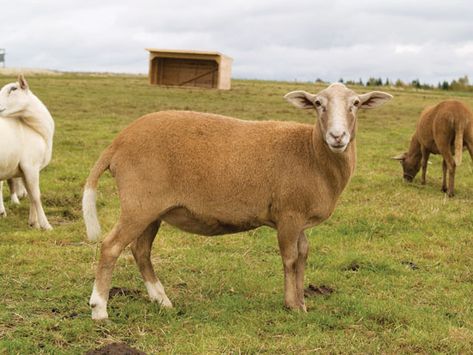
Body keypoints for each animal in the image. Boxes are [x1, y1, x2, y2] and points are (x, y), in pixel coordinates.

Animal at [82, 82, 390, 320]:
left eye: (356, 104)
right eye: (318, 103)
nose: (337, 136)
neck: (311, 153)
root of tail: (118, 143)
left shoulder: (299, 219)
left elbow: (303, 255)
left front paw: (302, 303)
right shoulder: (289, 215)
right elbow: (290, 258)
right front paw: (292, 305)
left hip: (152, 209)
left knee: (140, 250)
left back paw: (162, 301)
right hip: (138, 203)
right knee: (111, 247)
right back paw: (100, 309)